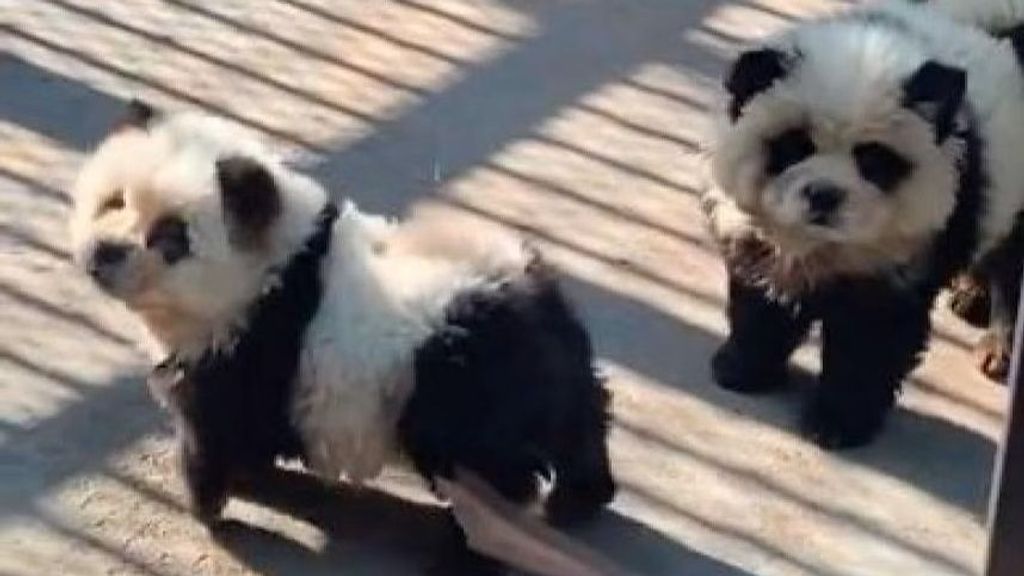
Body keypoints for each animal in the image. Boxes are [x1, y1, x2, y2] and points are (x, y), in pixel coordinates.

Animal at [74, 100, 614, 569]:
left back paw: (469, 550)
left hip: (458, 385)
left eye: (171, 237)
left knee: (489, 476)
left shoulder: (243, 349)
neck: (274, 269)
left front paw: (205, 503)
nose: (104, 252)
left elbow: (210, 434)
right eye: (113, 201)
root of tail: (534, 299)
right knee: (585, 418)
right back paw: (583, 497)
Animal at [700, 0, 1024, 446]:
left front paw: (836, 422)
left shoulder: (906, 252)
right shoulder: (761, 235)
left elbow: (870, 341)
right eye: (794, 146)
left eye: (872, 160)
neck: (827, 245)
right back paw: (971, 293)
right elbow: (762, 299)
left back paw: (997, 346)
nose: (824, 195)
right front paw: (741, 368)